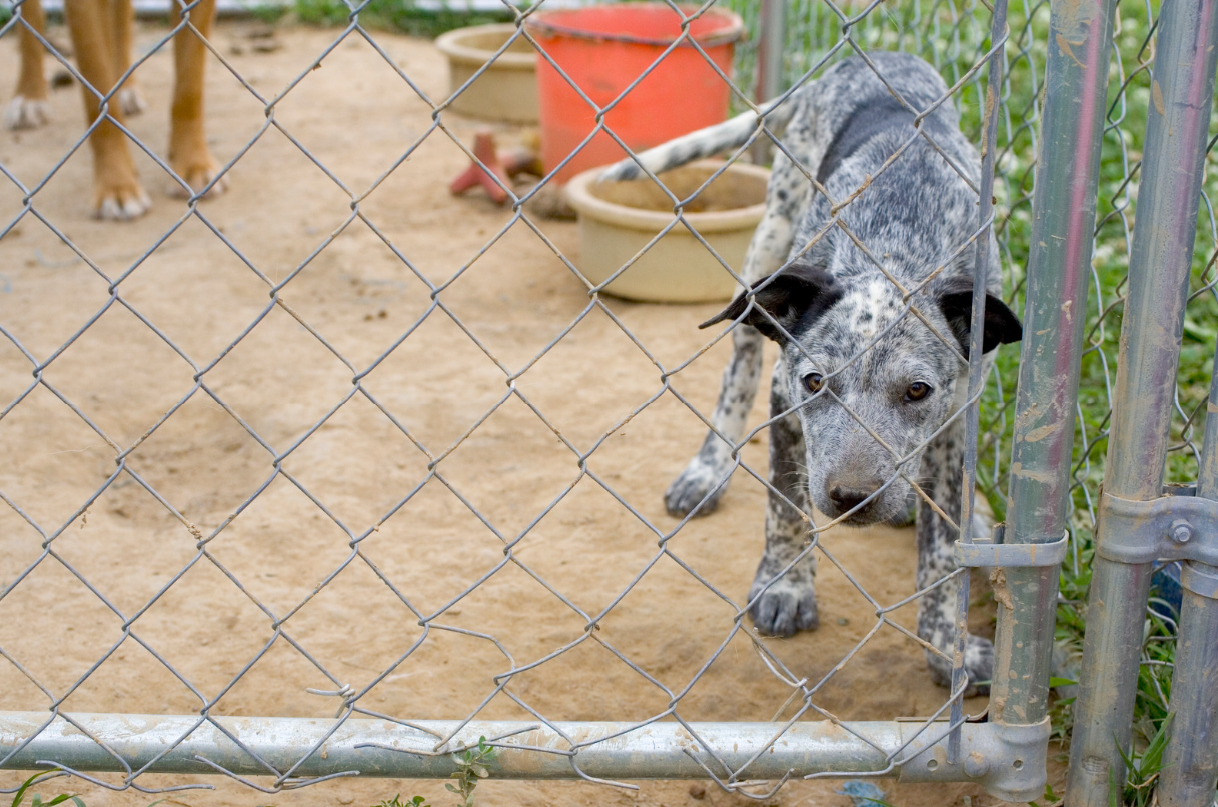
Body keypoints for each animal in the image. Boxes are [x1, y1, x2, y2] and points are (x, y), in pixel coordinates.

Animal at [604, 52, 1023, 696]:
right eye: (815, 383)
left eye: (918, 391)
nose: (850, 498)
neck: (896, 250)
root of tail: (869, 57)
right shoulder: (784, 400)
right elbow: (784, 504)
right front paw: (785, 586)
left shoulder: (956, 423)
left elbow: (942, 551)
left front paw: (947, 643)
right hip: (767, 245)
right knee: (738, 370)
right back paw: (707, 470)